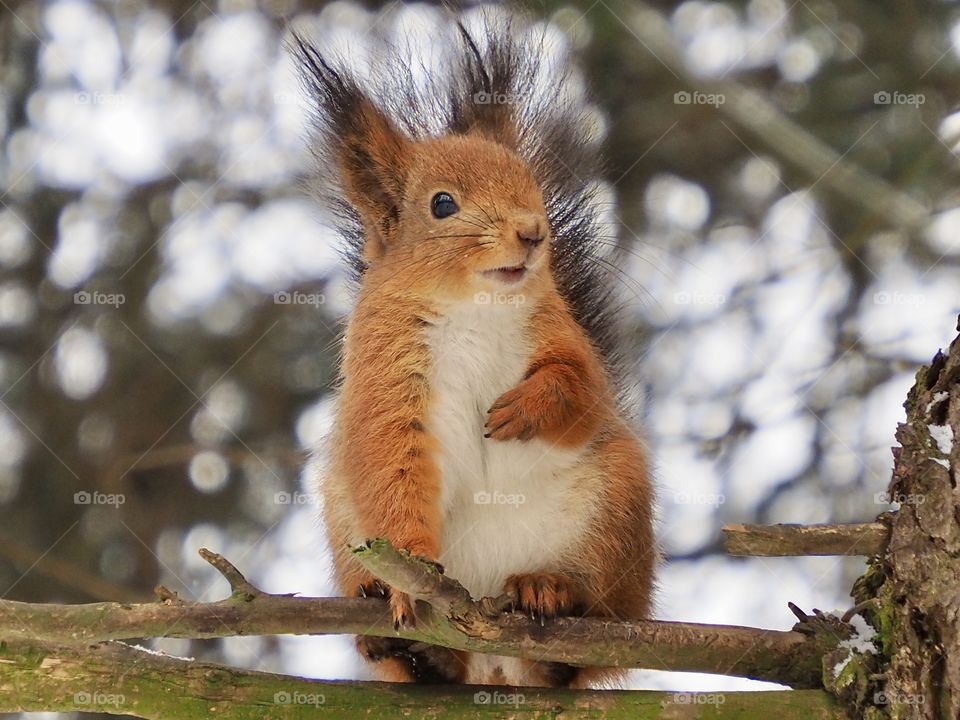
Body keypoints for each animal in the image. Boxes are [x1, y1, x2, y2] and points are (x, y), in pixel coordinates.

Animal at [294, 13, 657, 689]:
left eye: (530, 181)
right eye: (442, 204)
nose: (534, 233)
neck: (476, 305)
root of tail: (493, 658)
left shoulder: (560, 333)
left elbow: (584, 391)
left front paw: (527, 407)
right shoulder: (385, 372)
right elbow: (390, 461)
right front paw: (407, 581)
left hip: (613, 511)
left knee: (586, 628)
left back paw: (551, 593)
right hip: (343, 521)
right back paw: (410, 646)